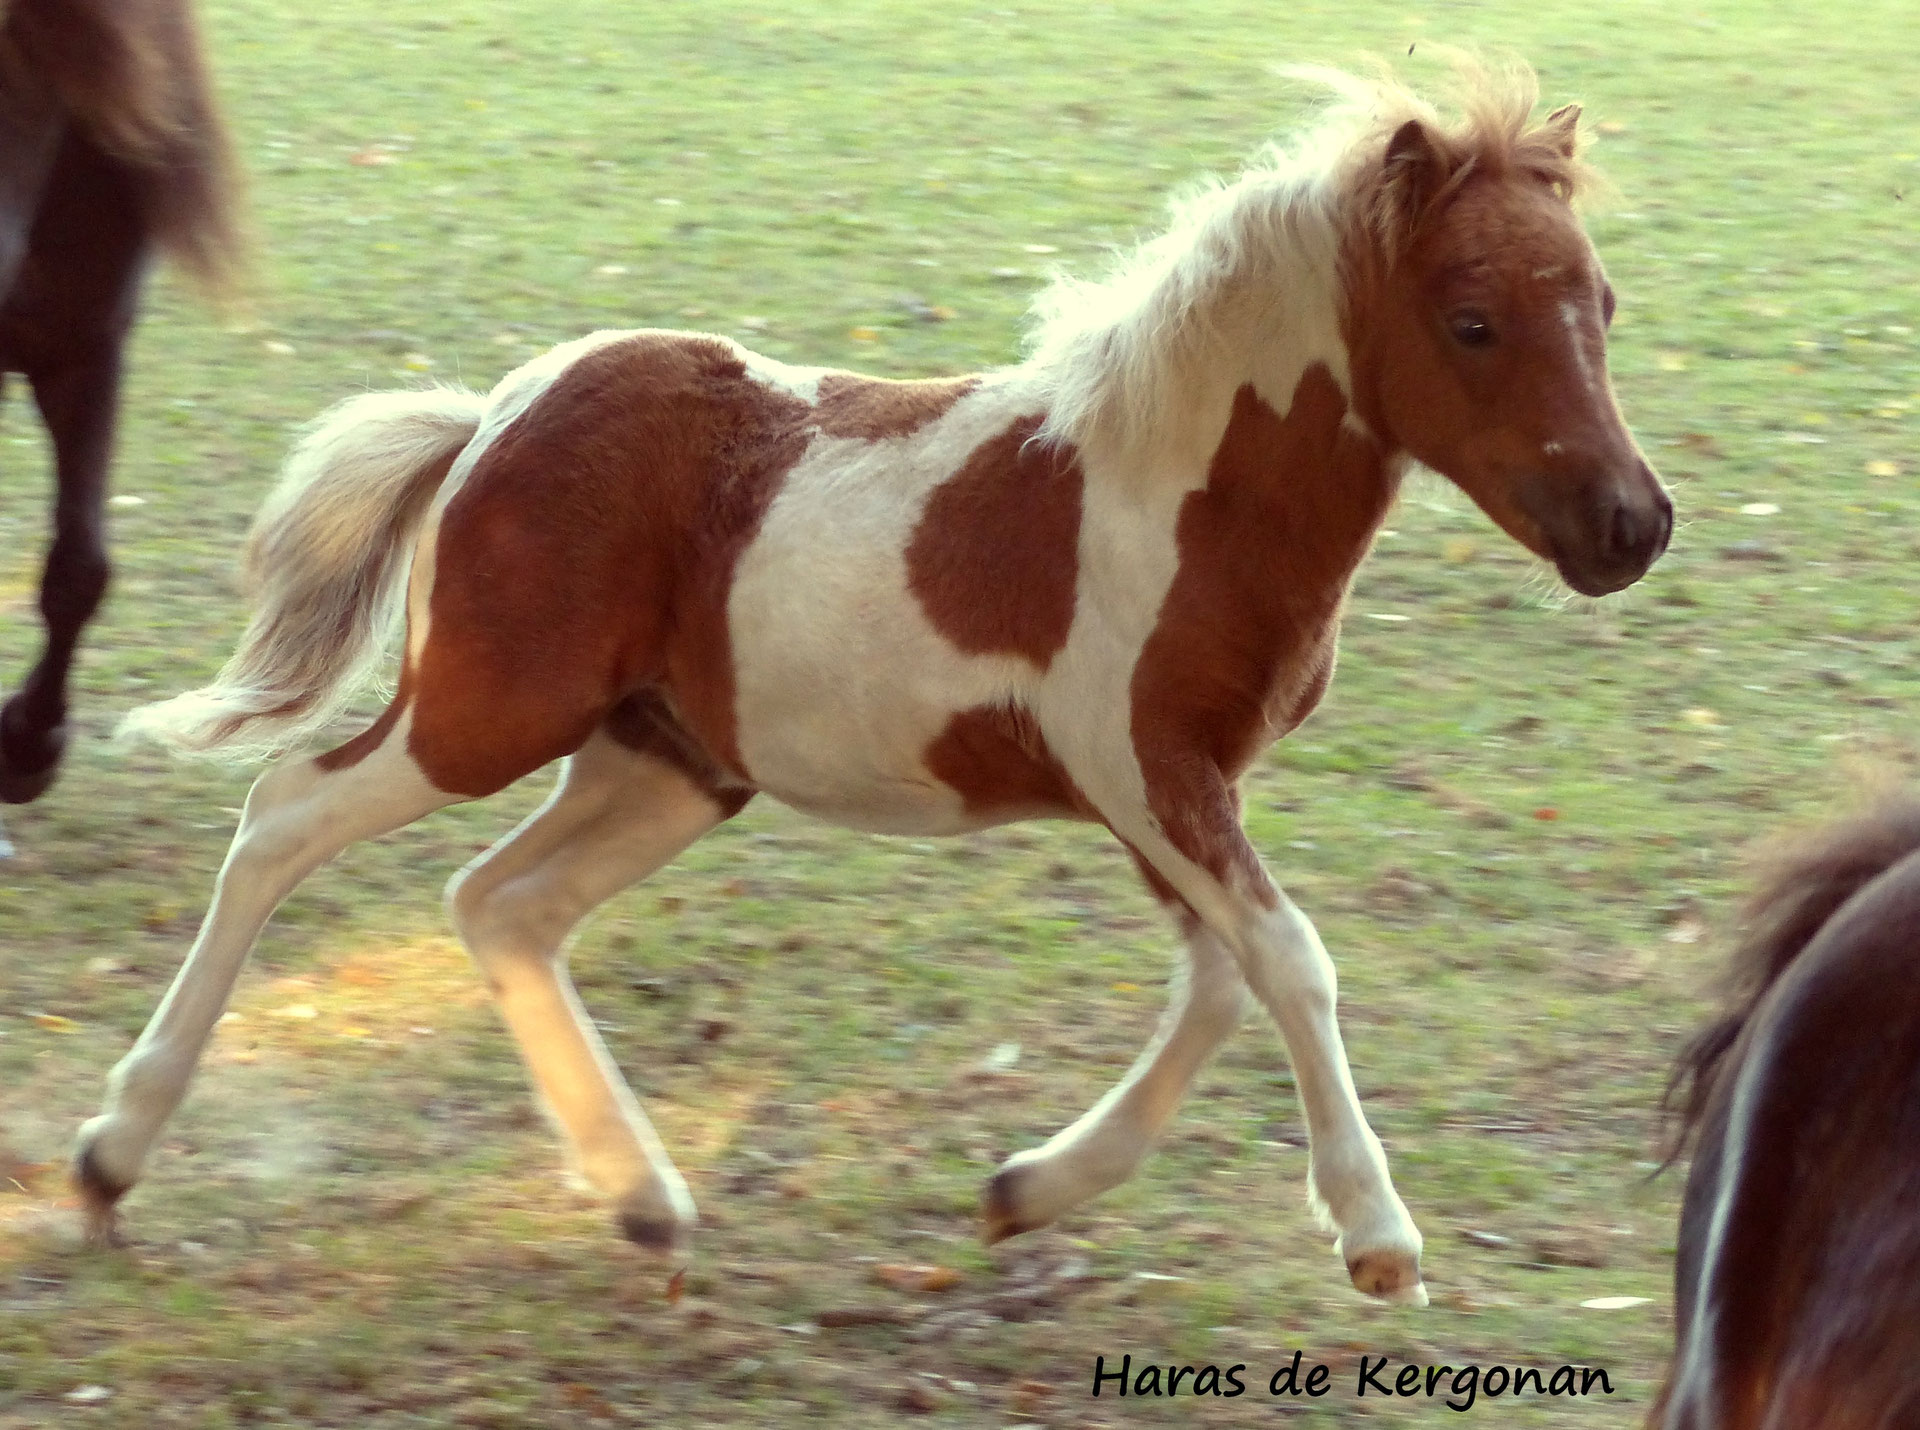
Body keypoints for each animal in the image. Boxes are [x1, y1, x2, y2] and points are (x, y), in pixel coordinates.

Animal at [71, 63, 1669, 1305]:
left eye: (1602, 301)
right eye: (1472, 319)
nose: (1631, 526)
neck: (1178, 491)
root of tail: (489, 418)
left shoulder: (1158, 791)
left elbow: (1222, 975)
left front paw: (1029, 1186)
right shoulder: (1144, 765)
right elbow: (1290, 960)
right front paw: (1378, 1235)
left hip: (668, 760)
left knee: (501, 903)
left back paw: (642, 1194)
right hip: (488, 710)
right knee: (285, 814)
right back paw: (109, 1153)